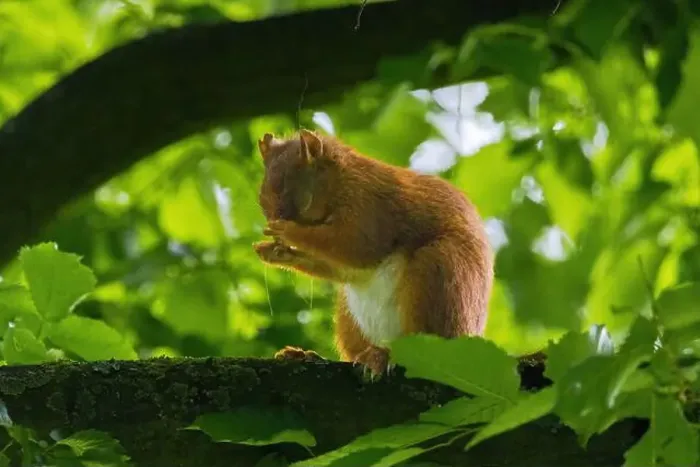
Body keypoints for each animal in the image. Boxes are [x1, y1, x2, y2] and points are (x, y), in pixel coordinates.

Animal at [253, 129, 494, 377]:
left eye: (286, 189)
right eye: (261, 196)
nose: (273, 219)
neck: (342, 180)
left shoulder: (370, 209)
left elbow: (353, 245)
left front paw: (286, 230)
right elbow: (340, 269)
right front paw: (274, 252)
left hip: (438, 274)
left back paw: (383, 356)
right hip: (349, 319)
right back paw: (308, 356)